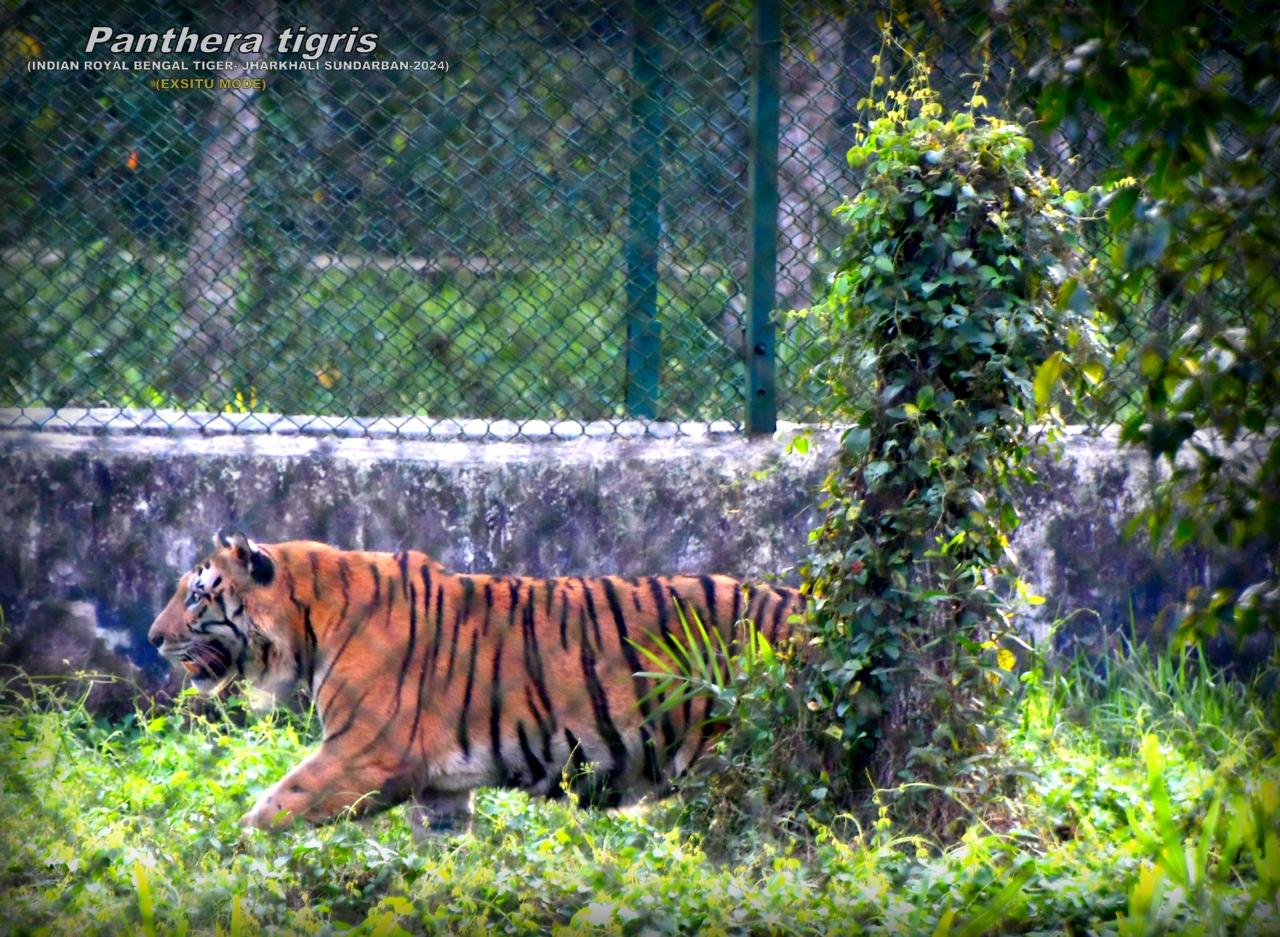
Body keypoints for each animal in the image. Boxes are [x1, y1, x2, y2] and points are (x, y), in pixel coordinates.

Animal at [149, 529, 803, 829]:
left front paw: (222, 854)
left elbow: (273, 808)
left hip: (743, 769)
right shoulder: (439, 789)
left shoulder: (364, 755)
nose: (153, 638)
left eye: (196, 594)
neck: (309, 622)